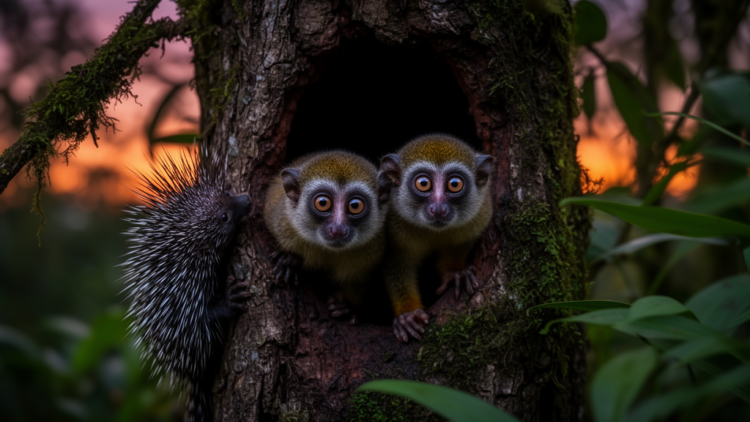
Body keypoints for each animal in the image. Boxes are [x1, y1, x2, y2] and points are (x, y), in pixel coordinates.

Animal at [264, 150, 390, 320]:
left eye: (355, 206)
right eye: (322, 203)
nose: (337, 229)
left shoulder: (373, 250)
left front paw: (345, 306)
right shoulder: (279, 220)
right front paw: (288, 260)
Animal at [379, 134, 494, 342]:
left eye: (454, 184)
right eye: (423, 183)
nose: (438, 208)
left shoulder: (481, 213)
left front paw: (455, 272)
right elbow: (395, 261)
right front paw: (408, 314)